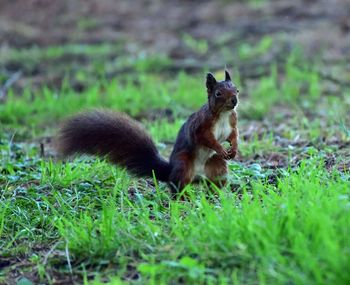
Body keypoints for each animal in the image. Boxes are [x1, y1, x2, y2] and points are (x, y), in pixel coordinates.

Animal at [56, 70, 238, 192]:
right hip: (183, 165)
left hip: (217, 166)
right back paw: (183, 199)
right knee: (176, 187)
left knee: (214, 183)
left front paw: (234, 150)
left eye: (236, 89)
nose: (234, 100)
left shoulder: (232, 122)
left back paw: (219, 196)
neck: (223, 114)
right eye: (218, 93)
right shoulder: (201, 125)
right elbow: (206, 138)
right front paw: (220, 148)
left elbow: (233, 135)